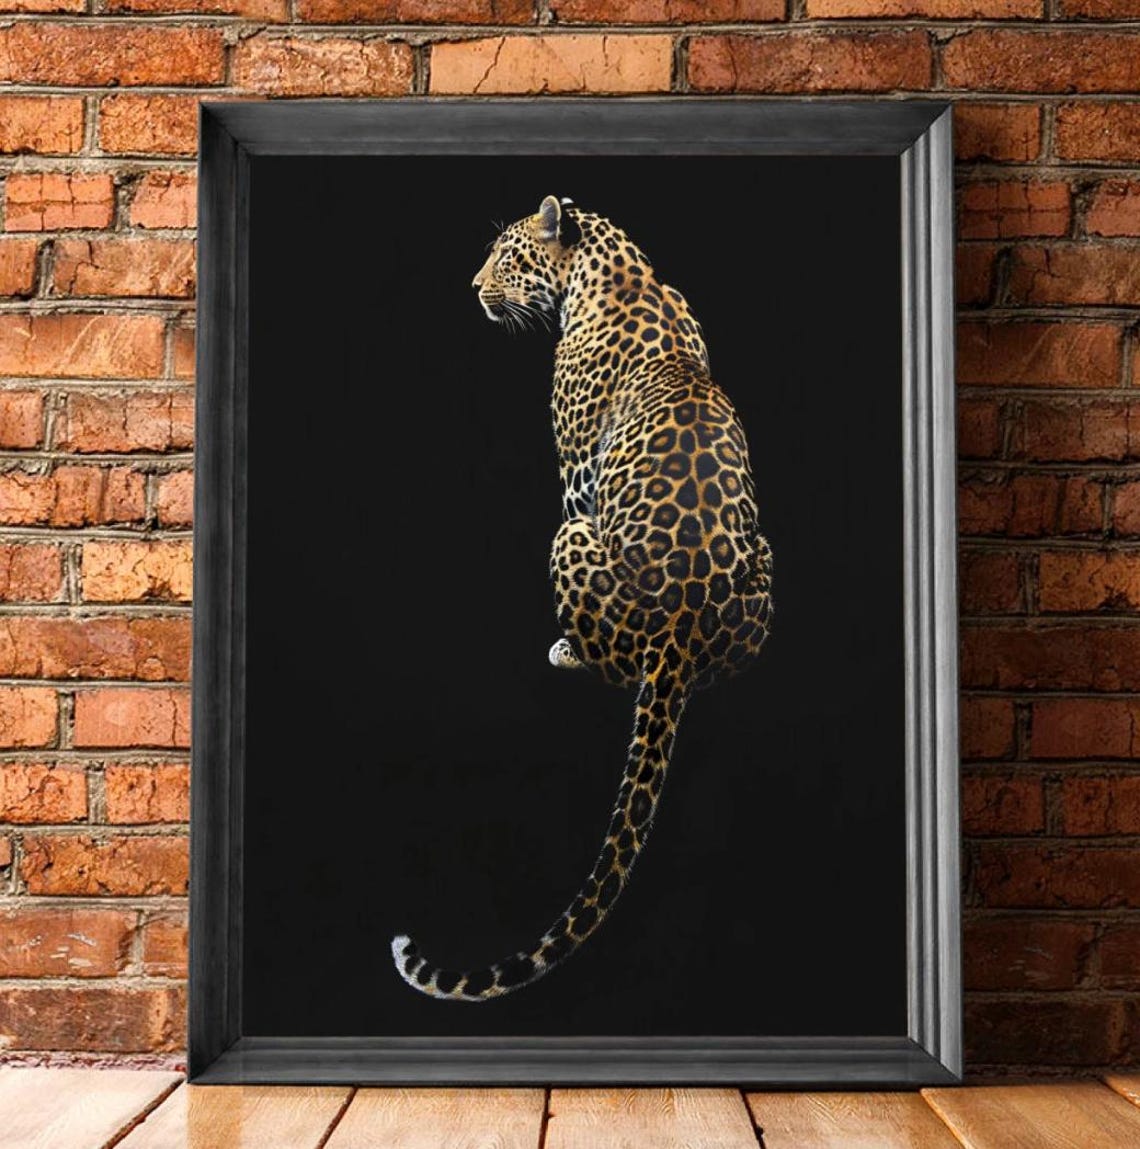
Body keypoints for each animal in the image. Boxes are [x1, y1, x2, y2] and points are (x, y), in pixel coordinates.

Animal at [391, 195, 773, 1001]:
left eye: (505, 258)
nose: (473, 288)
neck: (623, 272)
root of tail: (682, 626)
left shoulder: (577, 480)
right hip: (764, 559)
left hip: (568, 537)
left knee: (611, 663)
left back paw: (567, 650)